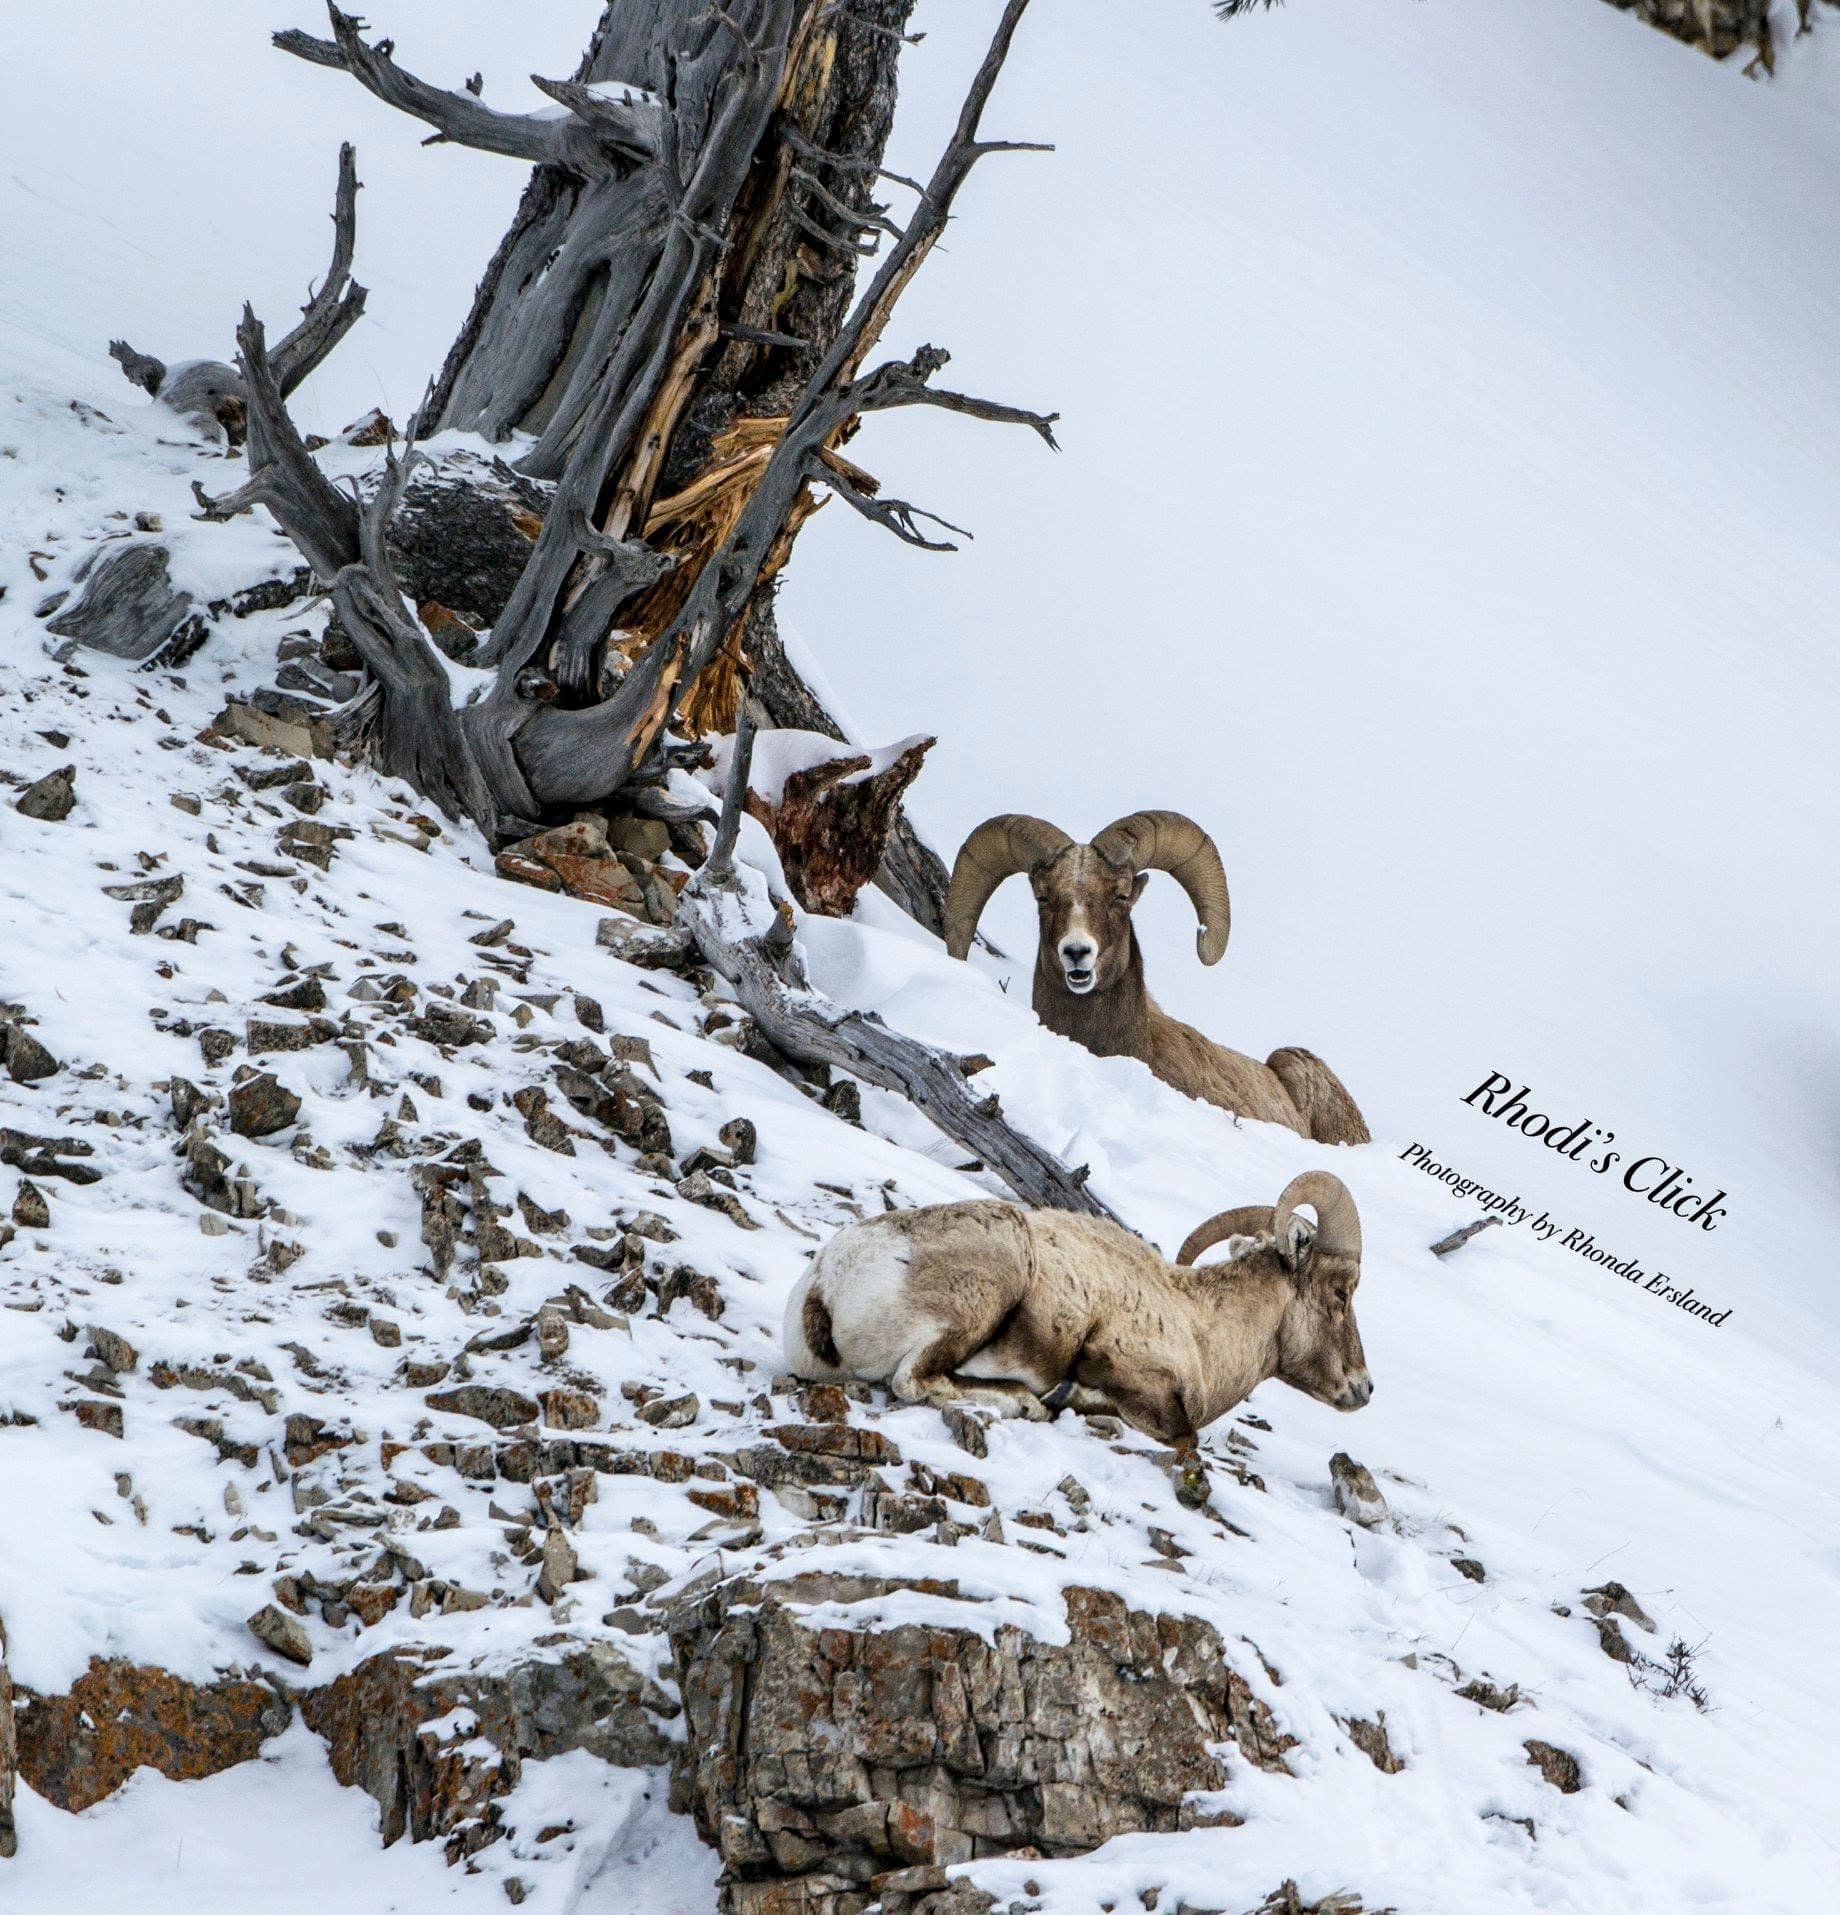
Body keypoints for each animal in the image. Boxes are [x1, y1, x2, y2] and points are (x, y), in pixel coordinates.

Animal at [785, 1171, 1371, 1501]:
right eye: (1341, 1292)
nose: (1363, 1389)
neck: (1200, 1331)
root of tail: (824, 1284)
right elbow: (1183, 1436)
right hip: (993, 1280)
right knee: (916, 1379)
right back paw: (1030, 1401)